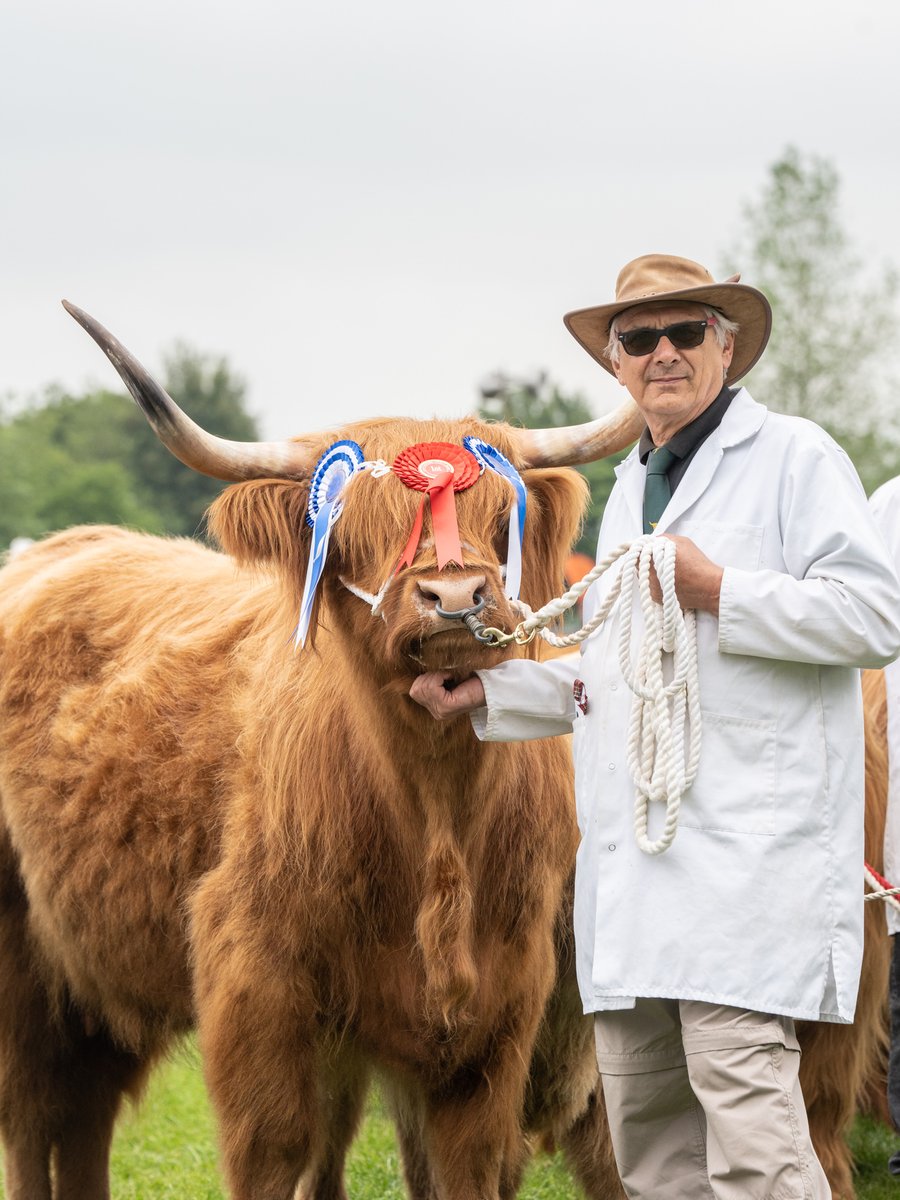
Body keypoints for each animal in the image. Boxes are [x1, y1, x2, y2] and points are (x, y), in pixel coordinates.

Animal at [0, 307, 643, 1200]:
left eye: (493, 516)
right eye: (352, 528)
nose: (453, 596)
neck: (434, 820)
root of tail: (58, 547)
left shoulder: (493, 1020)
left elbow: (463, 1165)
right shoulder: (258, 993)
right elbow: (276, 1153)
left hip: (92, 963)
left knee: (85, 1113)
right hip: (23, 963)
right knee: (35, 1115)